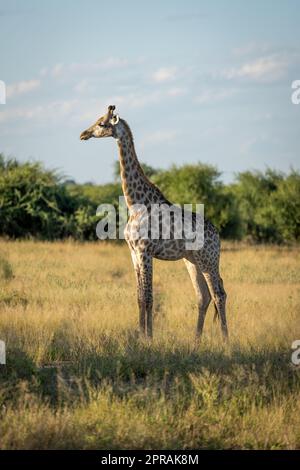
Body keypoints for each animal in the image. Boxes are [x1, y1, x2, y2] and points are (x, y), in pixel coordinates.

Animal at [79, 105, 227, 342]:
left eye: (102, 123)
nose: (83, 134)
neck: (134, 204)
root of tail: (218, 235)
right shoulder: (133, 253)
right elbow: (140, 297)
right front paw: (142, 335)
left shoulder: (145, 251)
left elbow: (148, 297)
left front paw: (148, 338)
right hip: (192, 261)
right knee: (203, 296)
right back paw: (196, 341)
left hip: (209, 260)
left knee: (219, 294)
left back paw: (225, 340)